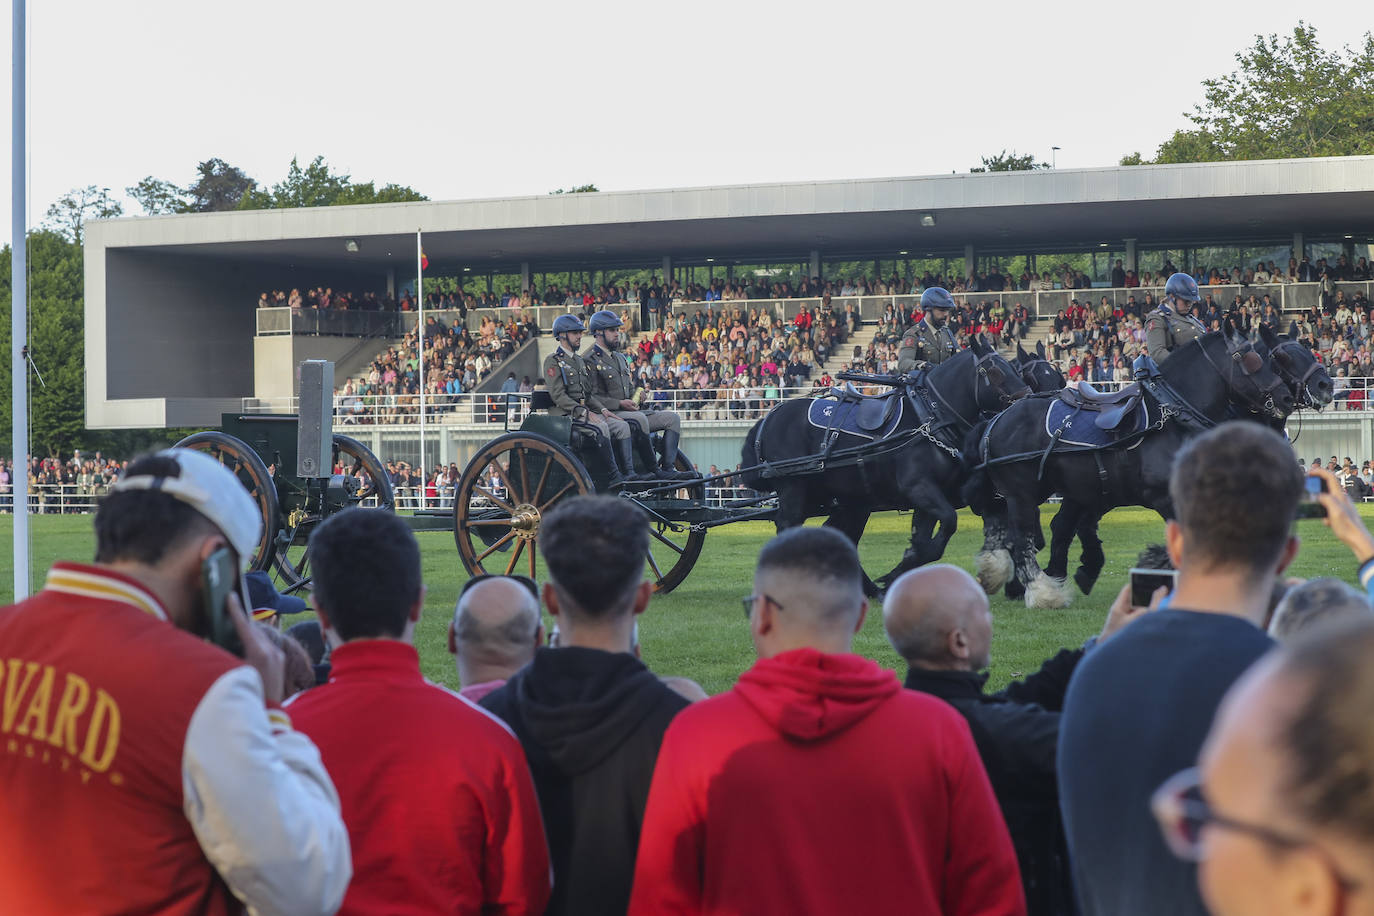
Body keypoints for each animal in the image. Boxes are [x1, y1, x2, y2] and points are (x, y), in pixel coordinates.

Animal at [741, 336, 1033, 596]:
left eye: (1015, 369)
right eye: (994, 371)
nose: (1026, 398)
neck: (930, 416)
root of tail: (769, 417)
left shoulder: (928, 497)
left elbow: (926, 542)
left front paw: (901, 570)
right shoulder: (920, 488)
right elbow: (949, 523)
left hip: (848, 500)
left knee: (838, 534)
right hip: (794, 489)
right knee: (788, 526)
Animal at [967, 330, 1286, 609]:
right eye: (1251, 359)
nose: (1282, 397)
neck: (1172, 414)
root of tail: (996, 420)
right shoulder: (1164, 498)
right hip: (1021, 493)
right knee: (1022, 539)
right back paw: (1043, 593)